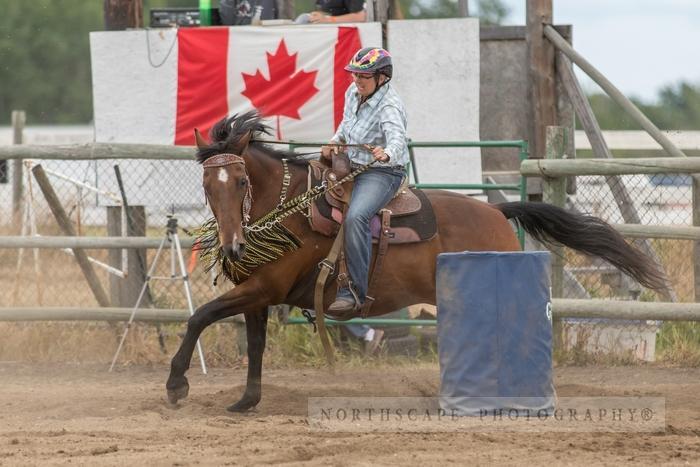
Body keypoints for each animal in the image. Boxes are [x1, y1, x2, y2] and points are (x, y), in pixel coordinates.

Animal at [167, 112, 664, 414]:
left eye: (241, 181)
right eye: (208, 186)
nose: (233, 247)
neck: (290, 210)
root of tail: (497, 212)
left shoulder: (264, 289)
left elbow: (198, 317)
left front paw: (176, 385)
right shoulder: (257, 295)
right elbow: (253, 346)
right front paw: (246, 401)